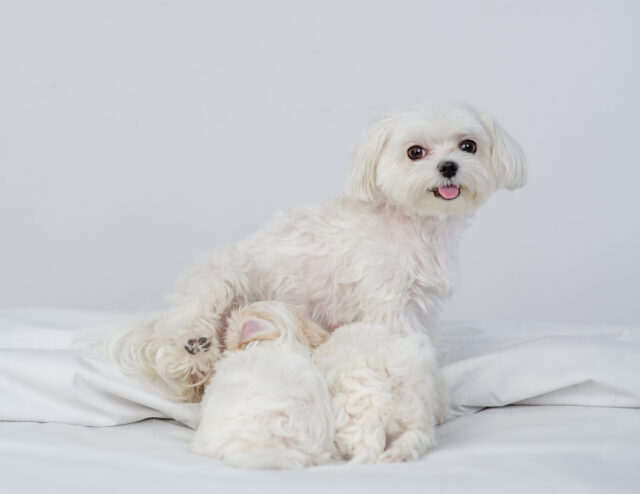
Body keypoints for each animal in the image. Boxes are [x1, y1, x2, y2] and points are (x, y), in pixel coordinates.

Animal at [109, 99, 524, 406]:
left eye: (468, 146)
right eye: (415, 152)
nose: (448, 166)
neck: (415, 223)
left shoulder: (420, 304)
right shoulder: (389, 303)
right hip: (221, 278)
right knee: (176, 347)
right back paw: (191, 347)